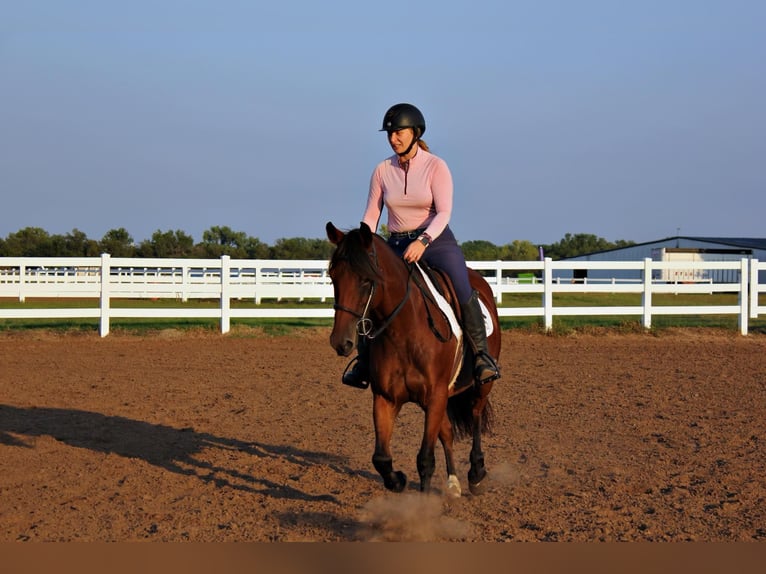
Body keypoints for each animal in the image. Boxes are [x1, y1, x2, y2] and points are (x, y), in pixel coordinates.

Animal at [326, 223, 500, 498]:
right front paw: (398, 480)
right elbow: (381, 458)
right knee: (447, 432)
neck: (404, 330)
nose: (340, 342)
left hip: (481, 387)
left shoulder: (436, 395)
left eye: (366, 280)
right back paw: (453, 483)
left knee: (475, 417)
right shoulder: (386, 398)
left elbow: (425, 459)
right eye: (333, 276)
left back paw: (476, 474)